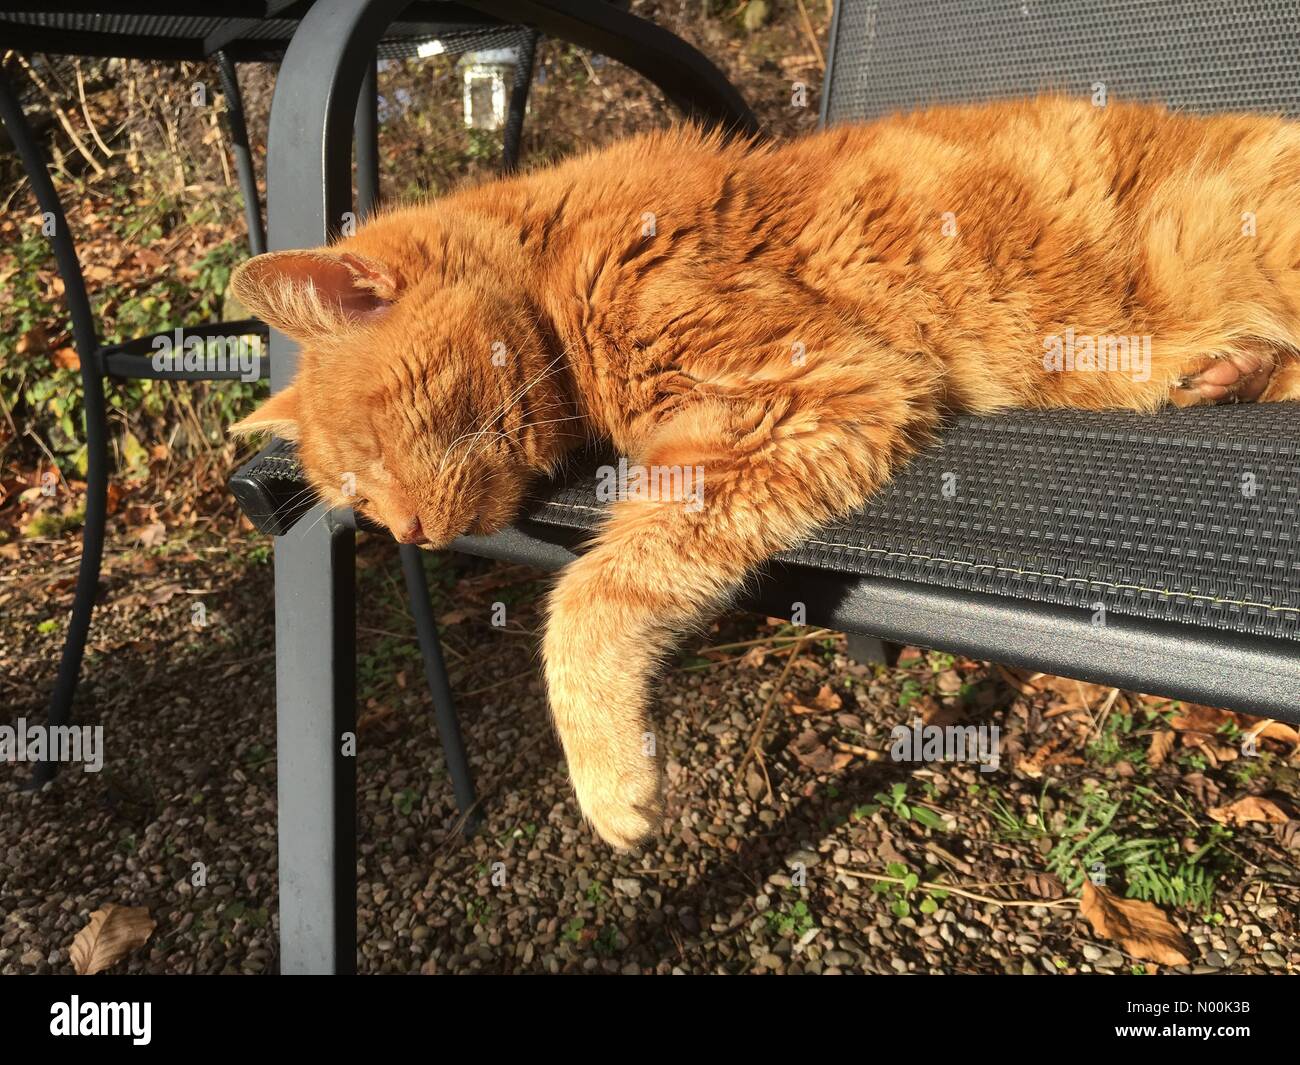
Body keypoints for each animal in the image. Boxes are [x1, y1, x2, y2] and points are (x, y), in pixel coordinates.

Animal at [228, 98, 1300, 847]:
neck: (558, 262)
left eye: (371, 457)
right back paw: (1225, 374)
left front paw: (602, 771)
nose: (406, 532)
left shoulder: (797, 396)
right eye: (358, 501)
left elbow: (592, 593)